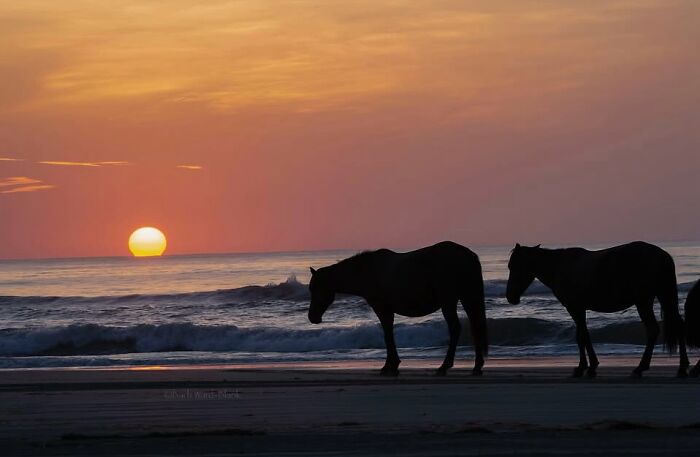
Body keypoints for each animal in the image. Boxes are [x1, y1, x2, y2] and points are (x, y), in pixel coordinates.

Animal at [307, 241, 488, 376]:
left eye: (316, 289)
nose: (312, 317)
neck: (367, 271)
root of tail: (467, 255)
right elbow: (389, 332)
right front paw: (392, 364)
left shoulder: (381, 308)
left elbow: (387, 334)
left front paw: (390, 365)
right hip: (467, 298)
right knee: (475, 327)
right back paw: (477, 366)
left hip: (449, 302)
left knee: (455, 328)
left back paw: (444, 366)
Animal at [506, 241, 689, 378]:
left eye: (515, 266)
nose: (510, 297)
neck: (558, 267)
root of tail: (662, 255)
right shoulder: (579, 309)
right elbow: (582, 336)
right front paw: (588, 366)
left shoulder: (575, 308)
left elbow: (582, 336)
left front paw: (585, 367)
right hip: (664, 296)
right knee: (678, 326)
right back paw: (682, 367)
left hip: (643, 302)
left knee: (652, 330)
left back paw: (641, 367)